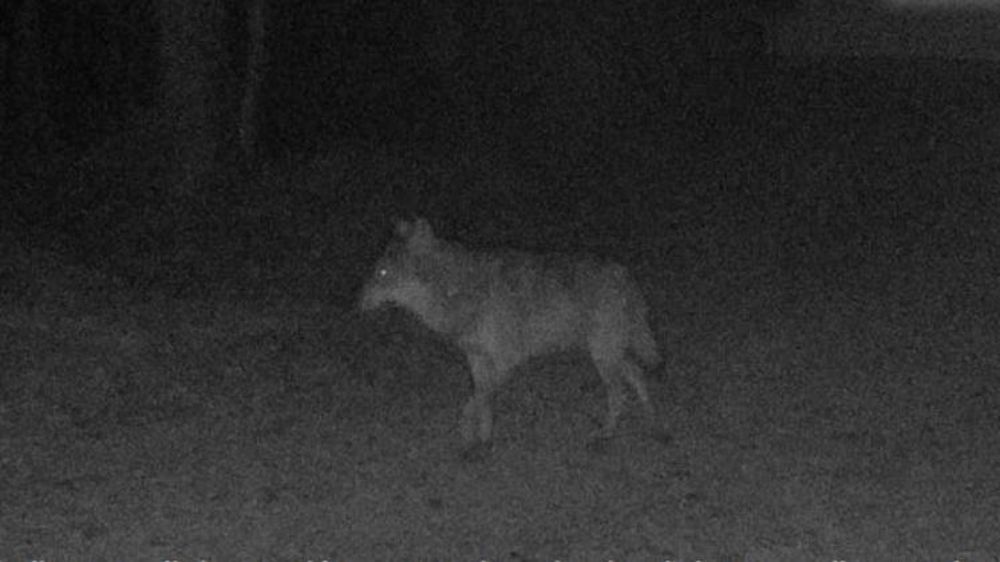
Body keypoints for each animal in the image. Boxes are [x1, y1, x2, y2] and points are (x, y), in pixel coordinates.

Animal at [360, 218, 661, 454]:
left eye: (382, 273)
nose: (356, 302)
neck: (455, 288)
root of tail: (624, 273)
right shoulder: (476, 358)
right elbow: (481, 400)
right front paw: (481, 440)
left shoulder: (505, 360)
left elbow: (477, 401)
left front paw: (470, 436)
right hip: (609, 353)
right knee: (637, 375)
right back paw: (650, 419)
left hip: (604, 355)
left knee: (619, 392)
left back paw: (607, 433)